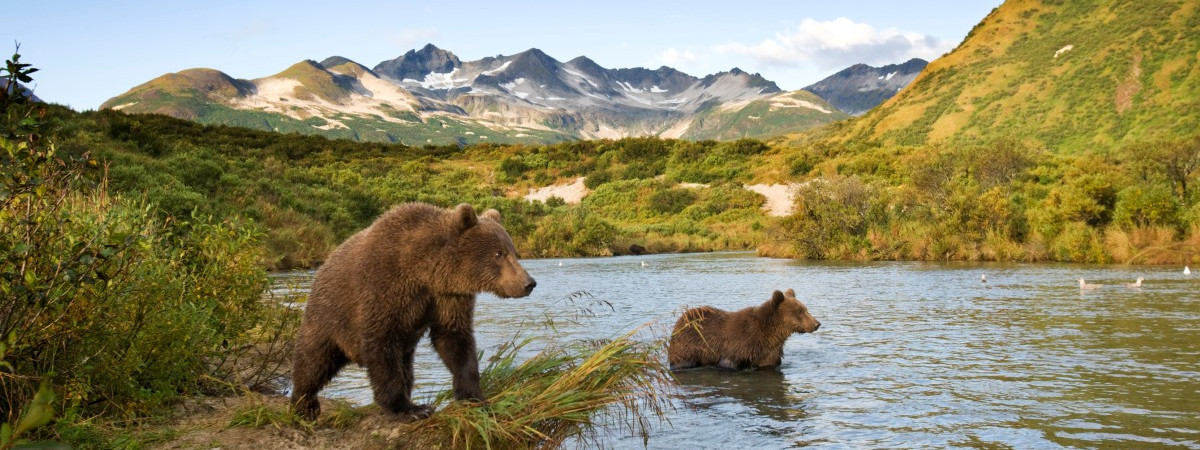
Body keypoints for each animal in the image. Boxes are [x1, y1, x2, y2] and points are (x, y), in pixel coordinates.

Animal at [290, 204, 535, 422]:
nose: (528, 283)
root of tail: (323, 266)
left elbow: (454, 339)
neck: (424, 271)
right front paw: (411, 409)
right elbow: (381, 346)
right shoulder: (384, 288)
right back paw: (304, 404)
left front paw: (474, 397)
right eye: (499, 253)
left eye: (514, 252)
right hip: (329, 316)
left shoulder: (447, 297)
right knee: (314, 361)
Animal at [672, 290, 820, 372]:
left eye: (805, 309)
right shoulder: (738, 345)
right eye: (800, 311)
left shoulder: (768, 353)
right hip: (688, 346)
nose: (816, 324)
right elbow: (729, 362)